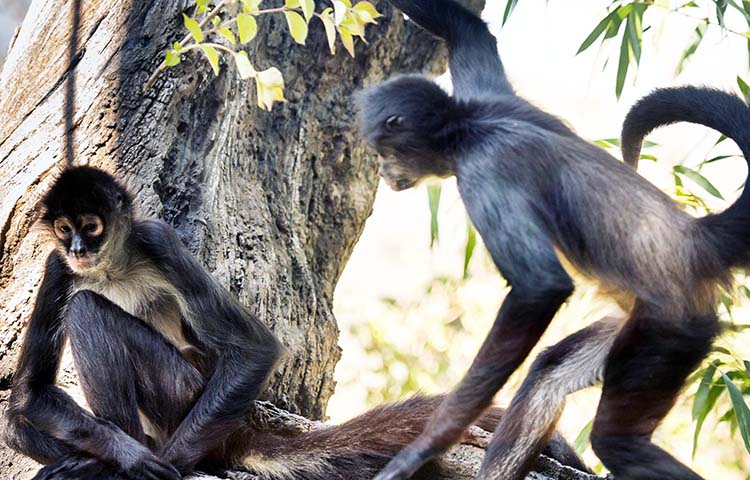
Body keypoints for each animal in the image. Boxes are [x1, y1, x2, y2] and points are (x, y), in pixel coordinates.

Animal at [2, 166, 588, 480]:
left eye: (92, 226)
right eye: (64, 229)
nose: (79, 249)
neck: (111, 267)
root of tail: (235, 430)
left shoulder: (157, 241)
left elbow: (255, 348)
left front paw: (154, 464)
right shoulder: (58, 268)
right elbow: (28, 394)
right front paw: (124, 458)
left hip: (181, 392)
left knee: (88, 311)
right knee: (15, 419)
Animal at [358, 0, 750, 480]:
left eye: (383, 152)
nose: (382, 172)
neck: (472, 125)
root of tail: (697, 239)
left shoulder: (484, 171)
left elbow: (541, 288)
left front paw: (420, 449)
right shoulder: (492, 96)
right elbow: (466, 28)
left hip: (671, 328)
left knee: (618, 443)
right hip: (637, 322)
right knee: (547, 376)